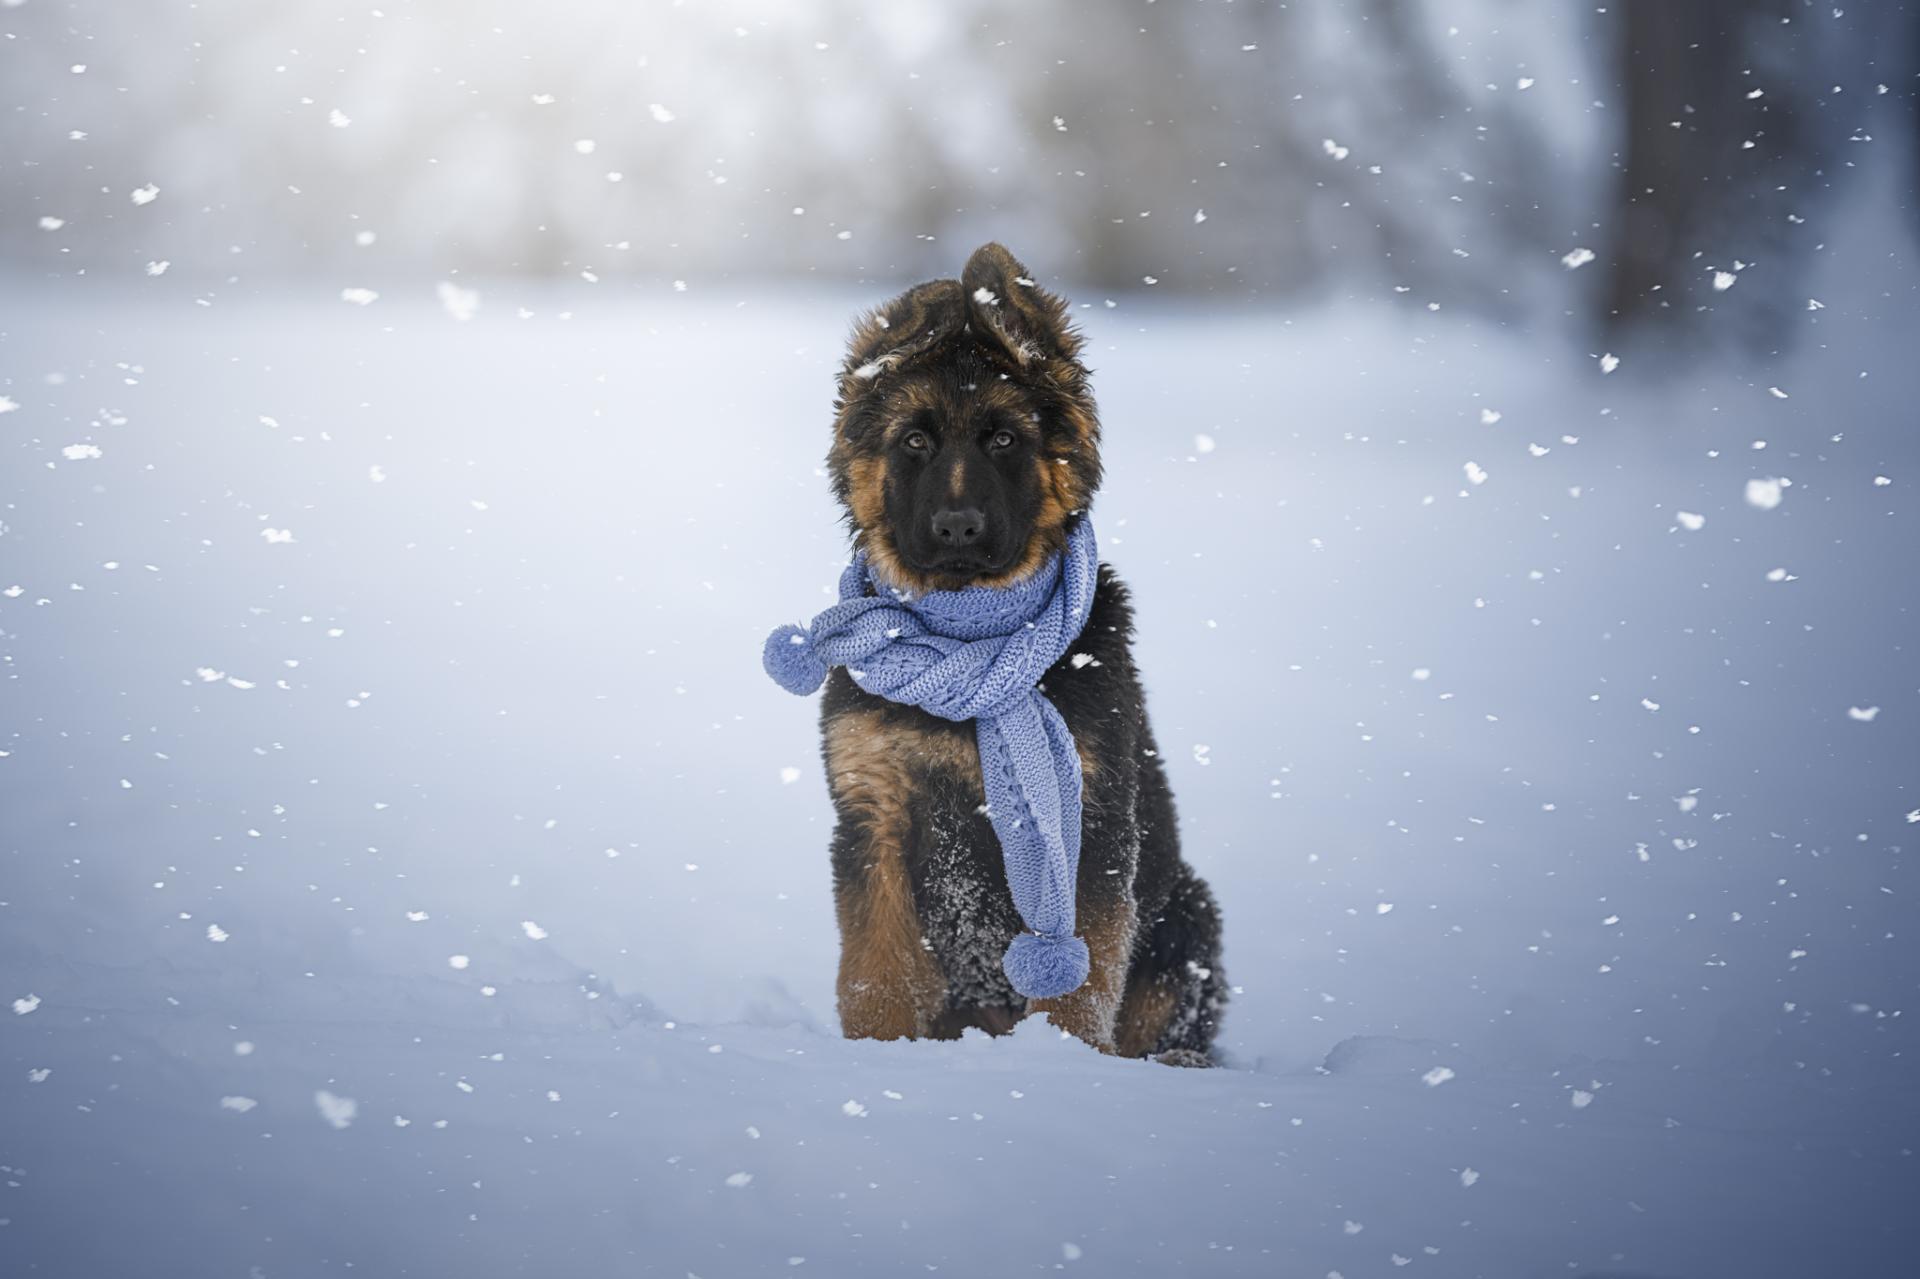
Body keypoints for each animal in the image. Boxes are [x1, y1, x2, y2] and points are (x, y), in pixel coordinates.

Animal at [814, 243, 1228, 1060]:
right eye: (914, 441)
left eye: (1004, 439)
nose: (957, 529)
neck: (967, 645)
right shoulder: (874, 811)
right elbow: (877, 971)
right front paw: (876, 1058)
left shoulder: (1090, 824)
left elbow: (1079, 985)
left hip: (1189, 912)